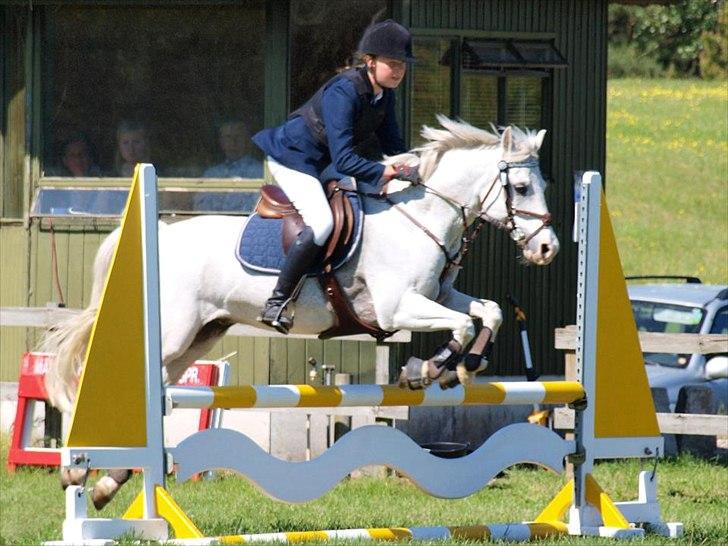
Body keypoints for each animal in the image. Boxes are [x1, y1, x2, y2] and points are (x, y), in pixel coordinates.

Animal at [41, 115, 559, 508]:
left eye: (543, 185)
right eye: (520, 186)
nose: (548, 249)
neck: (421, 217)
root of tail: (161, 235)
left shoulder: (438, 294)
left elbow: (487, 312)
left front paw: (459, 367)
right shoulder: (397, 309)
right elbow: (462, 323)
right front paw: (428, 368)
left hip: (197, 338)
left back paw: (107, 484)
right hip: (171, 333)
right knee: (98, 378)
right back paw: (77, 472)